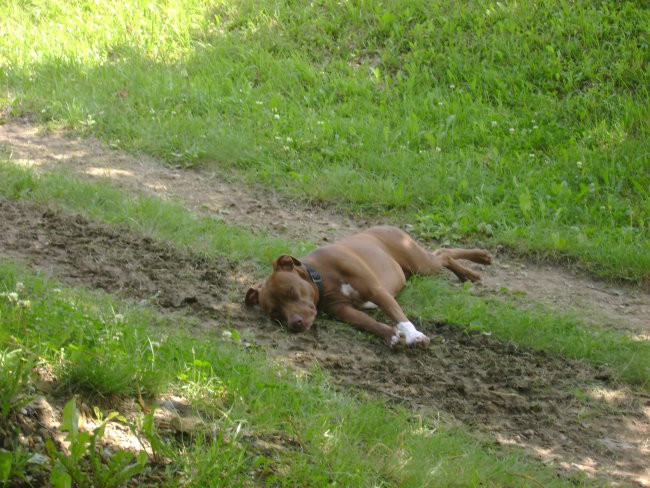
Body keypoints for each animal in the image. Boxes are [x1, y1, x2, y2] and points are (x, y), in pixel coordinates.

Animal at [246, 226, 488, 346]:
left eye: (291, 291)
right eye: (276, 314)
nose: (295, 323)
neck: (320, 276)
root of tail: (388, 225)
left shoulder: (376, 291)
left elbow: (398, 316)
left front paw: (414, 335)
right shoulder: (342, 310)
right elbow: (366, 321)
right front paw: (389, 334)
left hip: (421, 264)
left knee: (444, 254)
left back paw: (479, 262)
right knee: (442, 254)